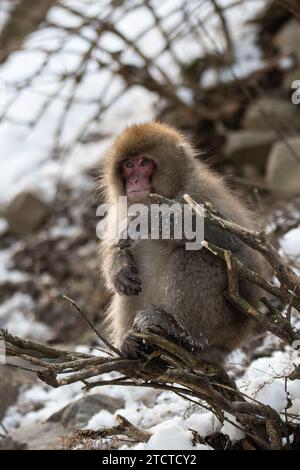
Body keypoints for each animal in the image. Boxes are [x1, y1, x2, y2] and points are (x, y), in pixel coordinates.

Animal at [99, 121, 264, 364]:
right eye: (128, 164)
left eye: (144, 163)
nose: (134, 181)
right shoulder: (118, 210)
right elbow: (116, 249)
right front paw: (118, 269)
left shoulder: (199, 193)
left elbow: (233, 242)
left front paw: (151, 221)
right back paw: (130, 343)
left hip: (225, 329)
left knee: (194, 256)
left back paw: (180, 331)